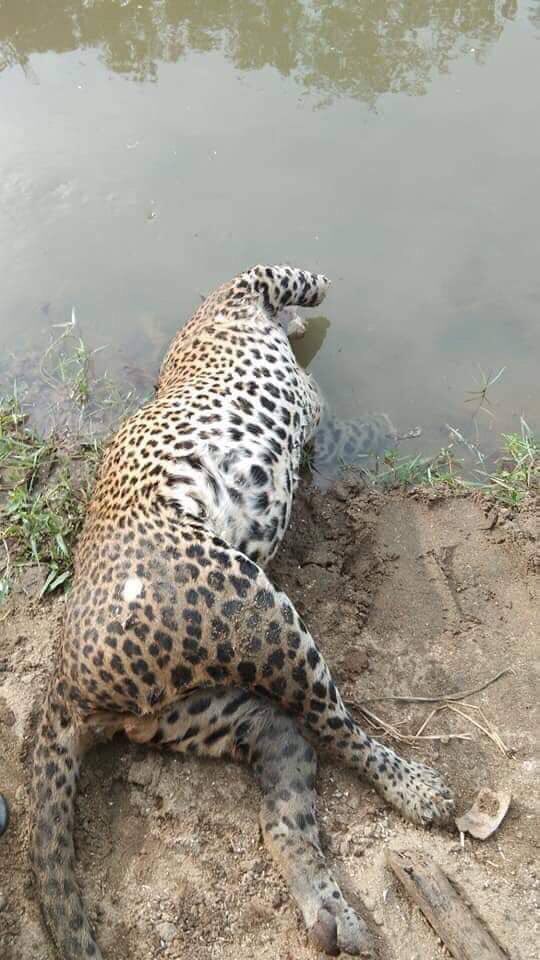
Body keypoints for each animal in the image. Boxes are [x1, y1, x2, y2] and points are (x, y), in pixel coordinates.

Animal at [30, 265, 454, 960]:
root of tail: (64, 681)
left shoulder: (309, 424)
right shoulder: (247, 284)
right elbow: (297, 277)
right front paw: (318, 302)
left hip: (214, 712)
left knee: (285, 800)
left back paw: (333, 918)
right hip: (253, 610)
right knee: (335, 728)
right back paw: (419, 789)